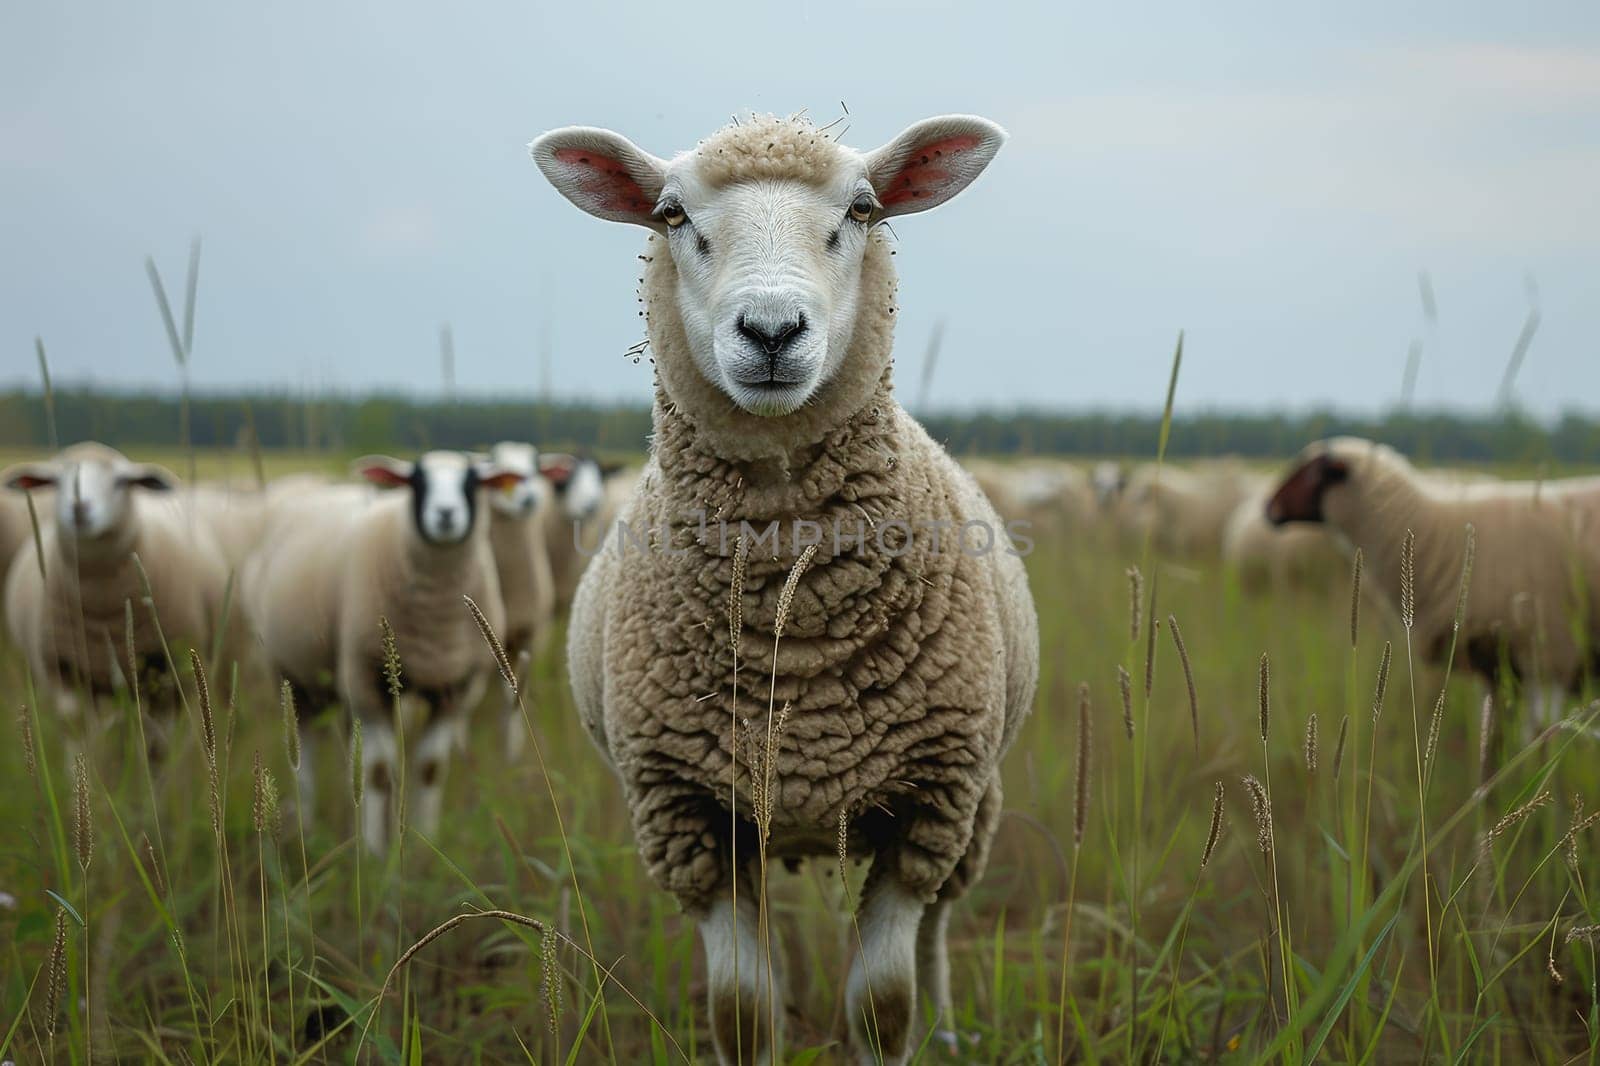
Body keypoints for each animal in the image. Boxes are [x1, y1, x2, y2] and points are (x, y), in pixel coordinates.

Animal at [2, 438, 233, 739]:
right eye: (56, 481)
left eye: (121, 481)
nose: (79, 508)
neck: (104, 614)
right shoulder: (64, 675)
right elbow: (83, 741)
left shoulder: (169, 675)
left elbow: (158, 742)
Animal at [531, 112, 1043, 1056]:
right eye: (669, 214)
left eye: (863, 208)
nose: (772, 330)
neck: (792, 624)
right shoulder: (688, 818)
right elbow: (742, 1012)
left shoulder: (929, 803)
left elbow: (883, 1004)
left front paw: (903, 1031)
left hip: (973, 808)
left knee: (940, 930)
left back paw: (948, 1031)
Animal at [1260, 435, 1600, 723]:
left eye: (1312, 473)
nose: (1267, 508)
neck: (1438, 536)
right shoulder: (1492, 666)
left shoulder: (1549, 656)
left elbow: (1539, 738)